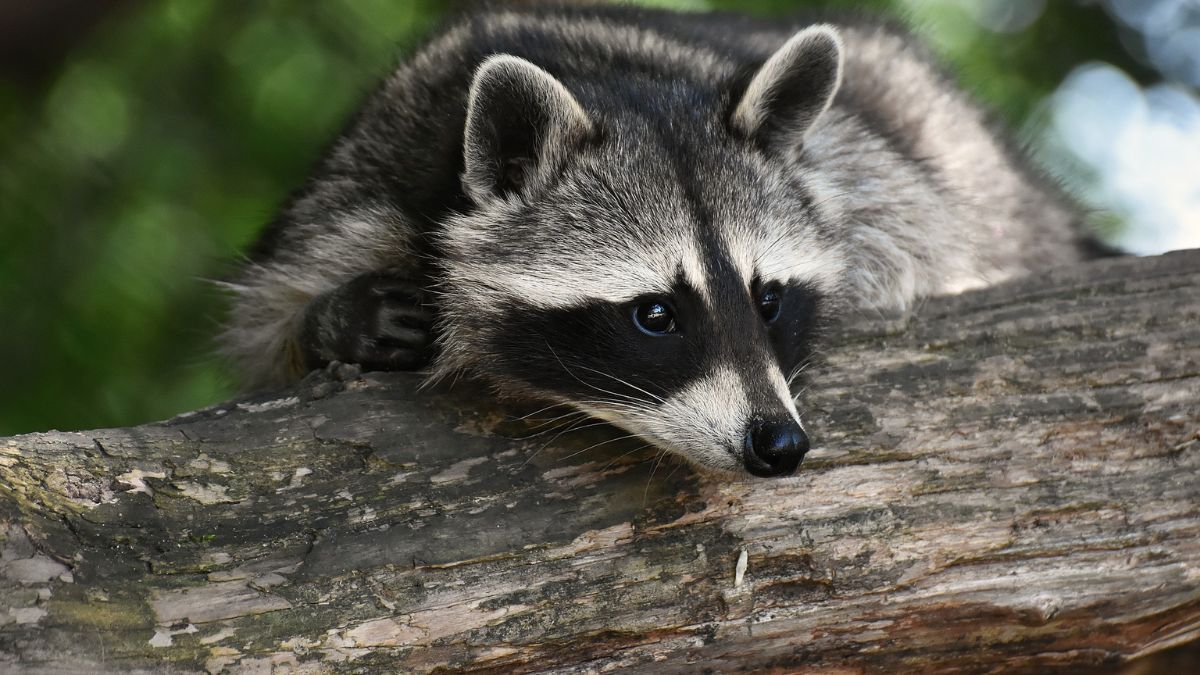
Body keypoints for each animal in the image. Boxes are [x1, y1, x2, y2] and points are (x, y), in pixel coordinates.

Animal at [223, 4, 1096, 477]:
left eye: (768, 299)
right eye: (654, 314)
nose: (779, 443)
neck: (607, 79)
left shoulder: (873, 175)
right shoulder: (360, 183)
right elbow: (266, 324)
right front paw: (335, 319)